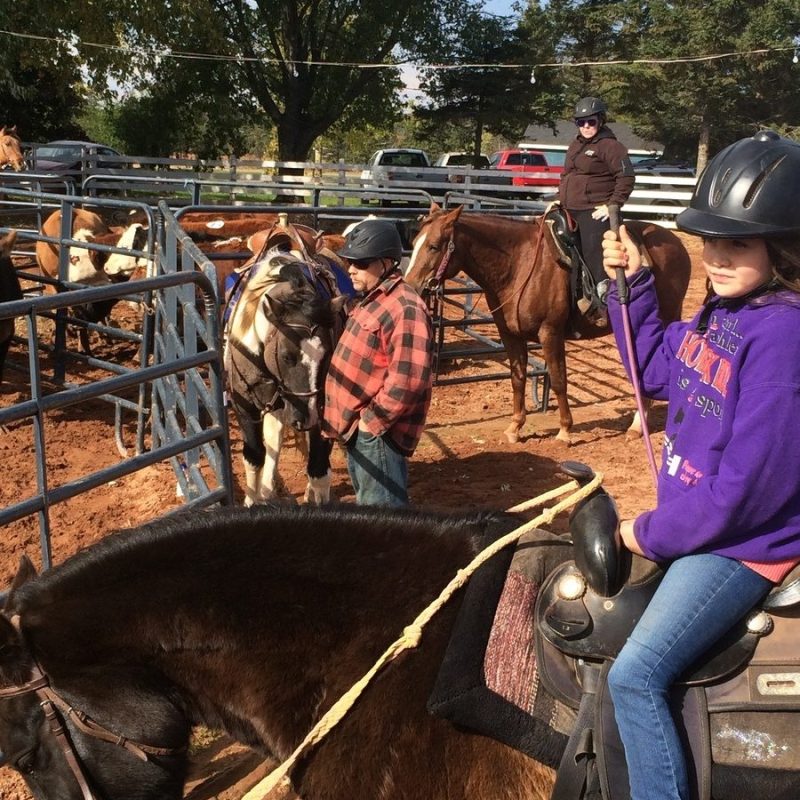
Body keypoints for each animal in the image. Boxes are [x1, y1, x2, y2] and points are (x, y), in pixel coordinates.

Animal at [224, 238, 350, 505]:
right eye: (285, 355)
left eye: (328, 355)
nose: (305, 418)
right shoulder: (245, 407)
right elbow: (254, 456)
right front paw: (252, 500)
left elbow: (319, 469)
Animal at [405, 203, 692, 443]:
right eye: (415, 242)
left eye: (434, 246)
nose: (411, 286)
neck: (517, 264)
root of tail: (676, 243)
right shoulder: (510, 335)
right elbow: (518, 378)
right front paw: (515, 428)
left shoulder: (550, 333)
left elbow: (558, 379)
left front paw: (565, 431)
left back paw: (636, 426)